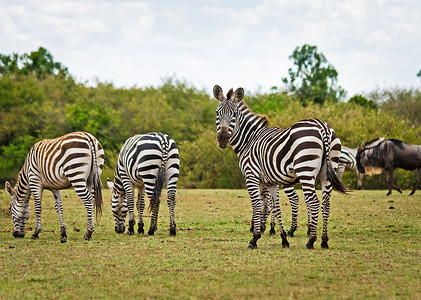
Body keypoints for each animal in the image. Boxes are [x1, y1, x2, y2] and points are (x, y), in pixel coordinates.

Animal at [213, 84, 348, 248]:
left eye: (234, 115)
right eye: (217, 113)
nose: (222, 139)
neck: (249, 140)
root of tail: (322, 126)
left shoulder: (252, 176)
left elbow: (258, 204)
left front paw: (255, 237)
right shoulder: (270, 181)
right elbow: (275, 207)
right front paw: (283, 238)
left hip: (305, 170)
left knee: (314, 202)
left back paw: (311, 241)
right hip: (327, 171)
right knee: (326, 203)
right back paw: (324, 241)